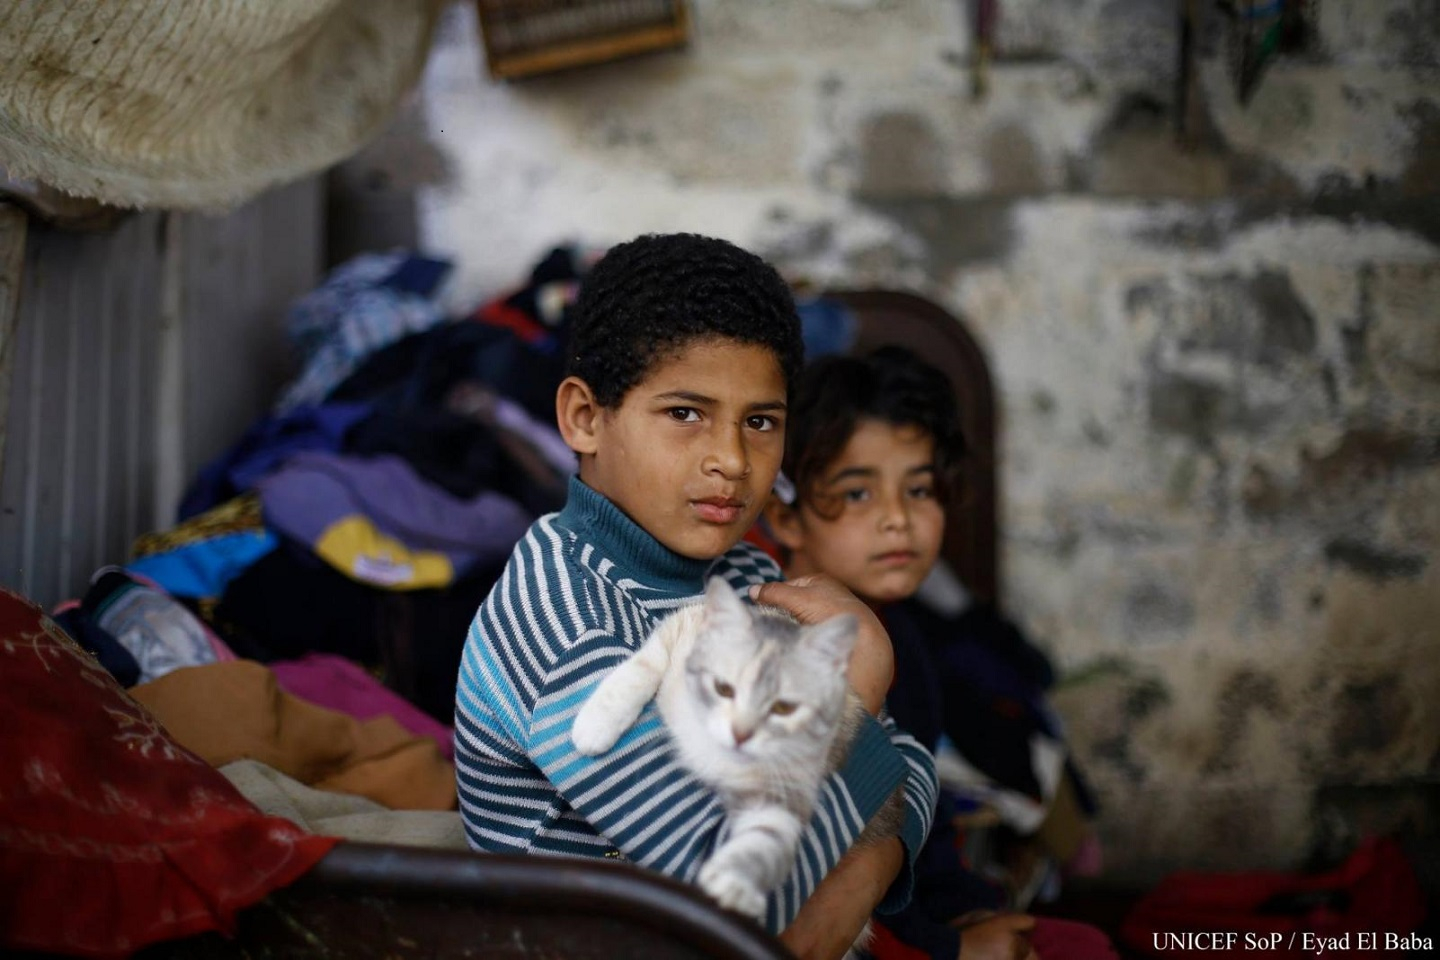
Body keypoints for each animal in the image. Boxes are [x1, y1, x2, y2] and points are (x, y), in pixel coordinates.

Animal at [570, 575, 898, 926]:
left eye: (783, 708)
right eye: (724, 688)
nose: (741, 732)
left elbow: (765, 835)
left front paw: (738, 882)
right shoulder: (684, 626)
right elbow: (649, 661)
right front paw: (599, 720)